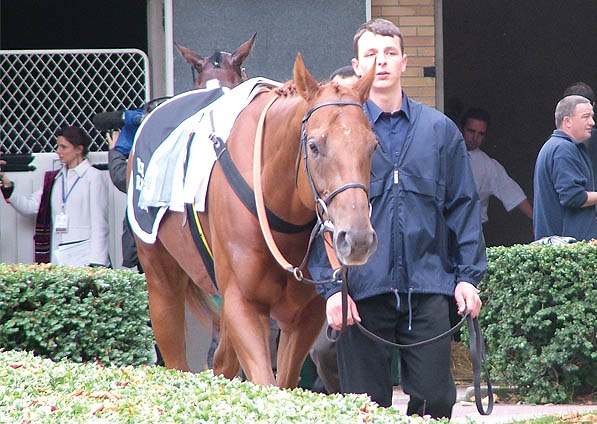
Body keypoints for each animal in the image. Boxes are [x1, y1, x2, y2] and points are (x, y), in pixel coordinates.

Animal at [133, 53, 378, 388]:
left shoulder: (304, 316)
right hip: (160, 279)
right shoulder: (243, 303)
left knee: (222, 360)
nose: (357, 239)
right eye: (314, 146)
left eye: (373, 145)